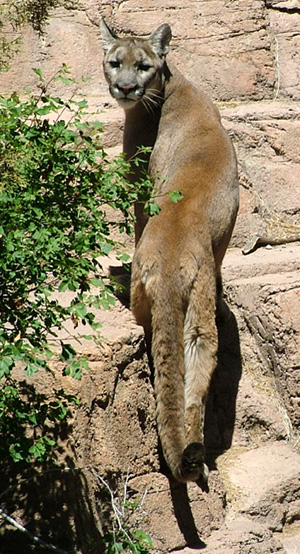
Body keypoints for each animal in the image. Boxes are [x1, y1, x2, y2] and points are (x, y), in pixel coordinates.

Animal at [101, 19, 239, 480]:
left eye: (142, 66)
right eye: (115, 62)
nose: (125, 88)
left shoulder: (137, 186)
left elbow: (136, 222)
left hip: (152, 294)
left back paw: (118, 280)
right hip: (200, 312)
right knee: (196, 373)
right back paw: (195, 456)